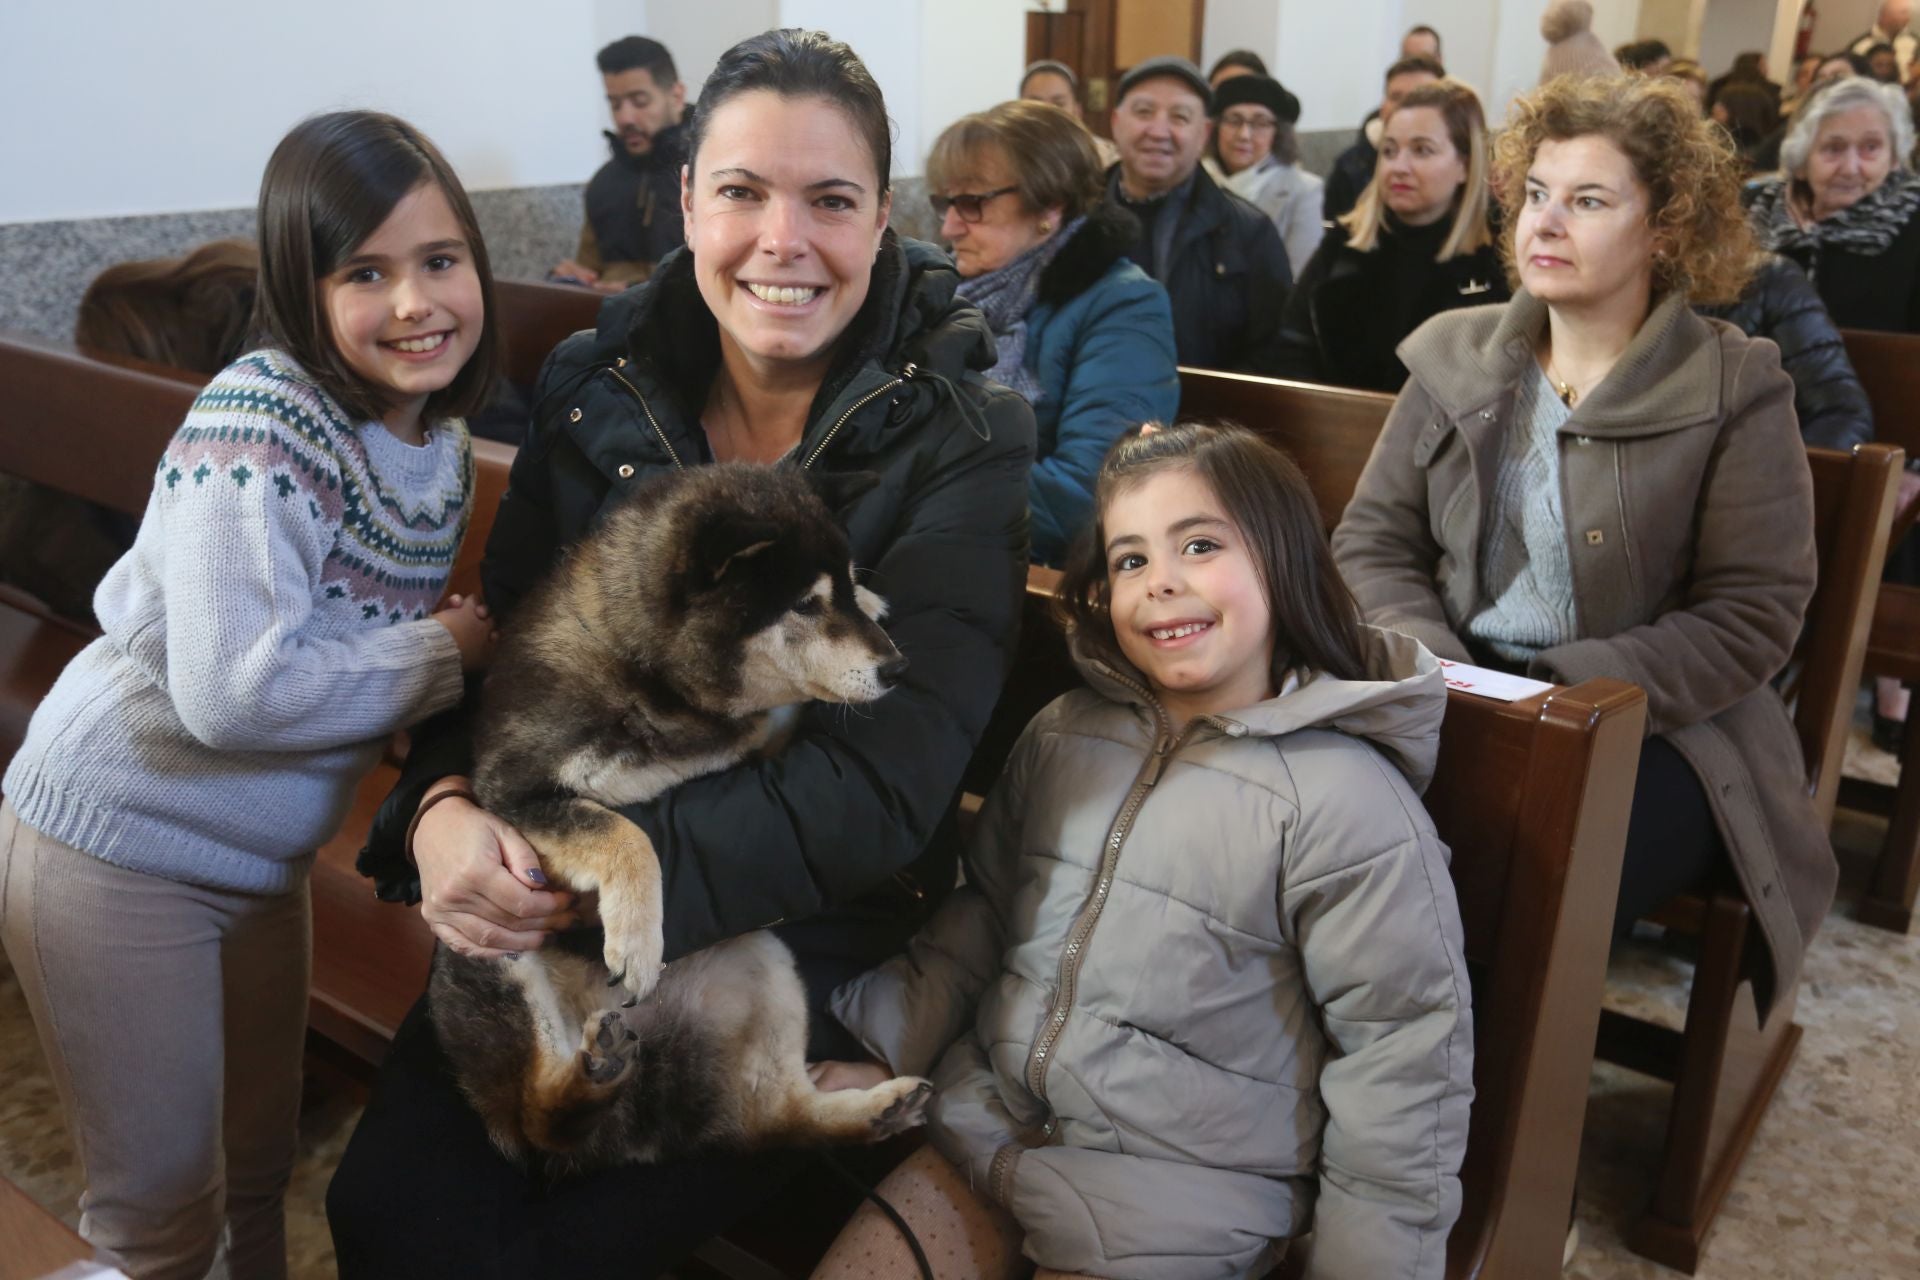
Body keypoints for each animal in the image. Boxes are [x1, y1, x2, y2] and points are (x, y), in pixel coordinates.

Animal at [437, 466, 944, 1174]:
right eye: (805, 605)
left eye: (841, 585)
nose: (898, 668)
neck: (651, 675)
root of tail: (635, 1127)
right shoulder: (515, 792)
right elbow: (627, 835)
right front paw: (637, 939)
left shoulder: (747, 744)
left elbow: (772, 719)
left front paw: (871, 600)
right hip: (487, 960)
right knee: (540, 1116)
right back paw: (588, 1076)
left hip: (765, 962)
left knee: (780, 1116)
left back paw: (877, 1111)